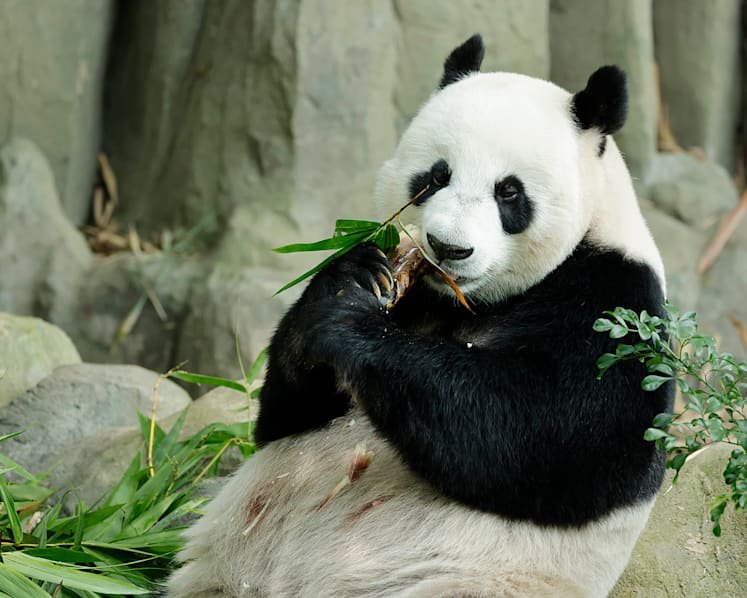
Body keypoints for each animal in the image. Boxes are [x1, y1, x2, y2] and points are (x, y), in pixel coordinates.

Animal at [167, 35, 673, 597]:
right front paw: (350, 280)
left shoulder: (614, 304)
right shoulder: (417, 294)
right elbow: (282, 417)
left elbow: (543, 428)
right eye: (436, 176)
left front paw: (351, 325)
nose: (448, 248)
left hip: (465, 580)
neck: (473, 300)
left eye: (509, 192)